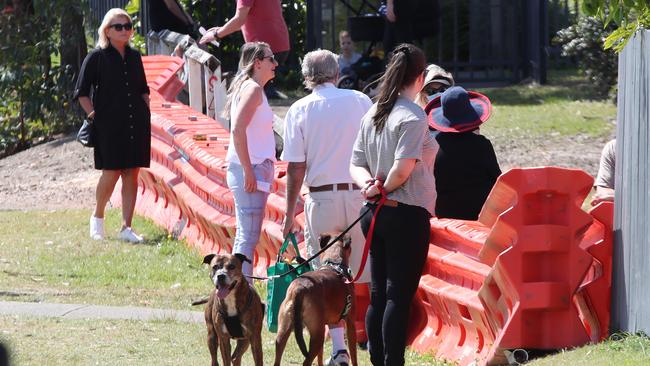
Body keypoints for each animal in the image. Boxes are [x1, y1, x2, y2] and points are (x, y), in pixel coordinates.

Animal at [270, 233, 356, 366]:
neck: (334, 263)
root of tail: (299, 289)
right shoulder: (350, 324)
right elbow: (353, 354)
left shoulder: (328, 324)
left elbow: (320, 357)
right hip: (317, 337)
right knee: (307, 361)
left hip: (285, 331)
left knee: (278, 354)